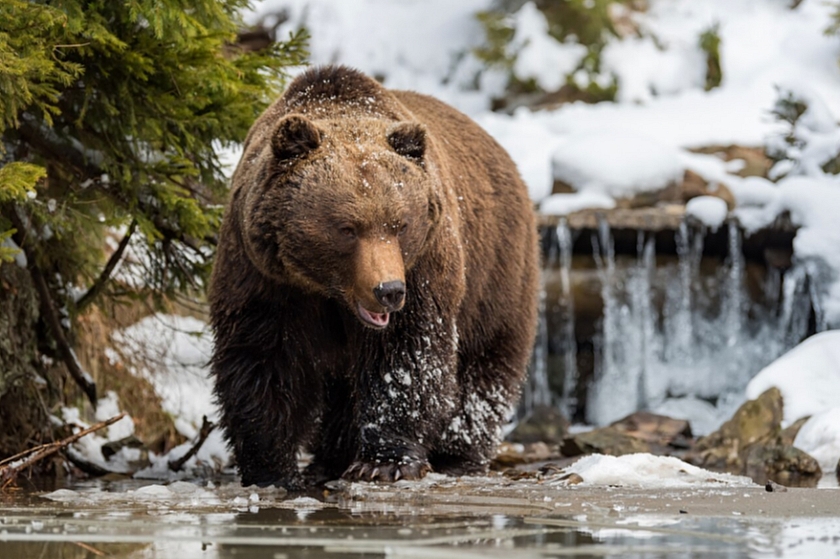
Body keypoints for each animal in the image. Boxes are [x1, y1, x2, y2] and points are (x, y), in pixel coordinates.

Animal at [210, 65, 539, 489]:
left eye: (400, 224)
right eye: (347, 228)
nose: (388, 291)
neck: (328, 290)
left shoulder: (423, 268)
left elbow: (405, 358)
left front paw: (385, 461)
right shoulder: (264, 275)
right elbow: (263, 358)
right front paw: (271, 468)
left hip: (496, 270)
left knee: (485, 363)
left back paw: (458, 455)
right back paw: (330, 458)